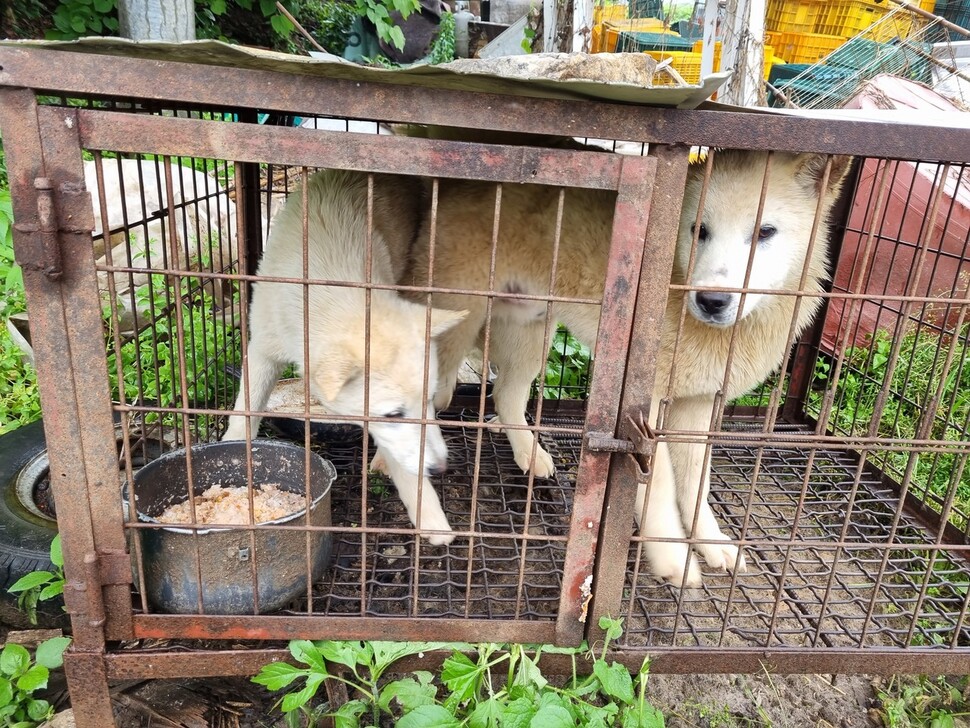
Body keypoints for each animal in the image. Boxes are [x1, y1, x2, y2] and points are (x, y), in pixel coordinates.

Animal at [223, 171, 466, 544]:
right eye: (394, 414)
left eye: (427, 401)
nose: (440, 468)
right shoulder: (263, 348)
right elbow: (244, 411)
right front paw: (231, 450)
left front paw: (431, 517)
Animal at [400, 149, 848, 584]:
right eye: (698, 230)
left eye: (765, 232)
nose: (711, 301)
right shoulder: (643, 409)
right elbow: (660, 486)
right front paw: (673, 556)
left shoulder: (698, 406)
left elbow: (696, 485)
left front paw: (710, 541)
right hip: (456, 326)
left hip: (534, 331)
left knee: (505, 394)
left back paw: (530, 453)